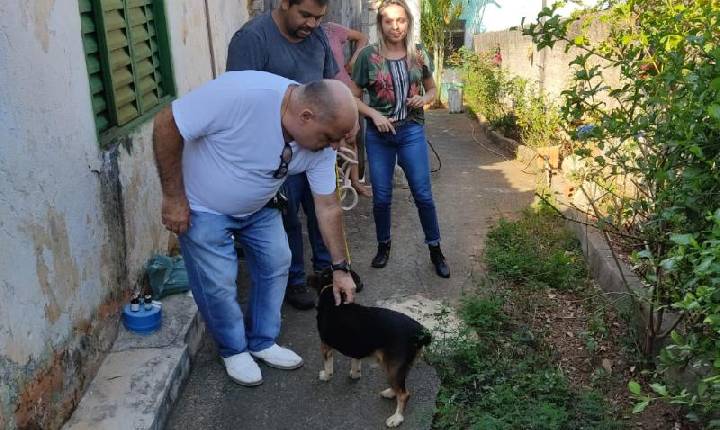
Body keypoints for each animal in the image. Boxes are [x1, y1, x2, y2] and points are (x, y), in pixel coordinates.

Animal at [306, 268, 430, 426]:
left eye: (320, 273)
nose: (308, 278)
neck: (331, 292)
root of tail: (419, 330)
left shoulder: (325, 346)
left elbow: (328, 367)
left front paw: (326, 376)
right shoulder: (356, 347)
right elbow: (355, 363)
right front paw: (355, 374)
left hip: (393, 366)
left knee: (404, 394)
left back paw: (396, 418)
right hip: (400, 366)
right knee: (400, 386)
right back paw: (390, 393)